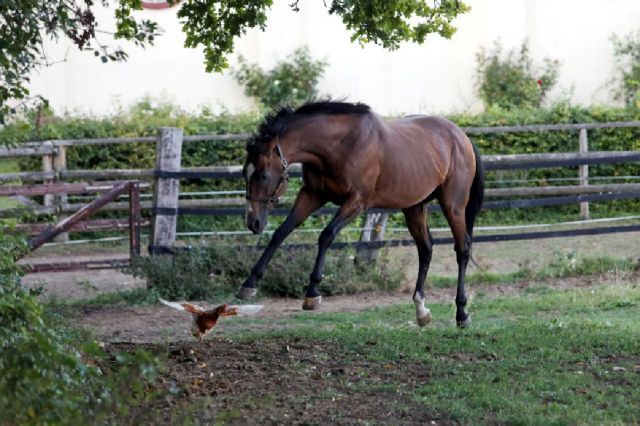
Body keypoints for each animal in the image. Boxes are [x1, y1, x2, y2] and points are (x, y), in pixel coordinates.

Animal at [238, 101, 482, 328]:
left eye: (264, 175)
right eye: (244, 172)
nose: (253, 222)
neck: (341, 145)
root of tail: (461, 137)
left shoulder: (357, 201)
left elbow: (326, 235)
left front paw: (312, 294)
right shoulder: (312, 195)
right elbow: (281, 232)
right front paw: (249, 283)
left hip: (453, 206)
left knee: (462, 249)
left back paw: (462, 314)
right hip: (414, 207)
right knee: (426, 249)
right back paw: (421, 311)